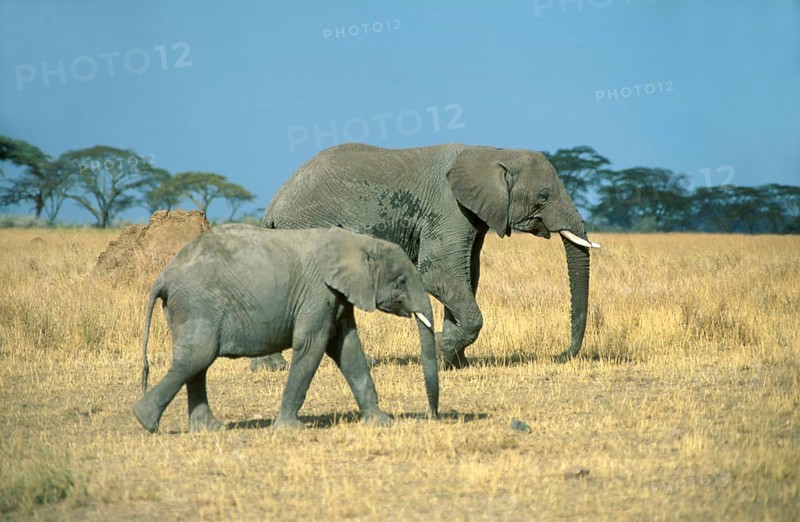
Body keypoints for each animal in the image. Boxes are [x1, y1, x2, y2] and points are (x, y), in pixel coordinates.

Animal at [131, 224, 439, 433]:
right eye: (400, 282)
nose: (432, 415)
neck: (359, 241)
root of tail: (164, 275)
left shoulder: (337, 296)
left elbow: (348, 349)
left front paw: (382, 422)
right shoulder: (318, 292)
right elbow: (312, 344)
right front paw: (290, 429)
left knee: (198, 363)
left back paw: (209, 428)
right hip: (197, 303)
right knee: (198, 357)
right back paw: (144, 420)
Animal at [250, 143, 600, 371]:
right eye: (543, 196)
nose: (562, 355)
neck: (492, 152)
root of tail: (273, 207)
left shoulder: (472, 216)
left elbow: (467, 277)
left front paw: (457, 363)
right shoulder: (448, 208)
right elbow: (440, 274)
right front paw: (440, 350)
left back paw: (270, 367)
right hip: (309, 229)